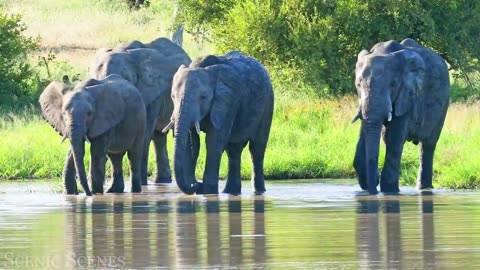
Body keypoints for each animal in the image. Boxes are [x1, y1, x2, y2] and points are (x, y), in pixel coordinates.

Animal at [87, 37, 192, 186]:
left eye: (126, 79)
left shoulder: (153, 92)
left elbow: (144, 132)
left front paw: (141, 183)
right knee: (159, 137)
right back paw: (162, 181)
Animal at [162, 51, 274, 194]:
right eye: (172, 96)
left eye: (203, 97)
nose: (196, 185)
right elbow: (193, 143)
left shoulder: (228, 100)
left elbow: (214, 141)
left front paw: (209, 191)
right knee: (233, 150)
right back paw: (230, 192)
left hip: (268, 104)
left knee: (257, 149)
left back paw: (259, 192)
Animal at [352, 38, 450, 194]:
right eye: (358, 85)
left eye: (393, 85)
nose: (373, 191)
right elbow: (367, 132)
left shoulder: (408, 94)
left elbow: (394, 137)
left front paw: (389, 190)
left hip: (443, 105)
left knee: (428, 145)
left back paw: (424, 188)